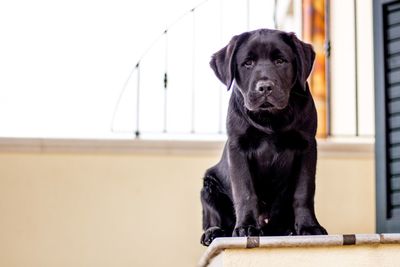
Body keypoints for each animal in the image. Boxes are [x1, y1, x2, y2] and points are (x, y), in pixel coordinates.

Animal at [200, 29, 328, 247]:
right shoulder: (238, 147)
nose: (265, 87)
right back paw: (214, 233)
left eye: (280, 61)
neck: (271, 119)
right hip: (208, 187)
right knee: (214, 218)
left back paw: (287, 230)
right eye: (247, 63)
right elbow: (244, 191)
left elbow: (304, 190)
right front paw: (245, 227)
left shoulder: (307, 146)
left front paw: (309, 227)